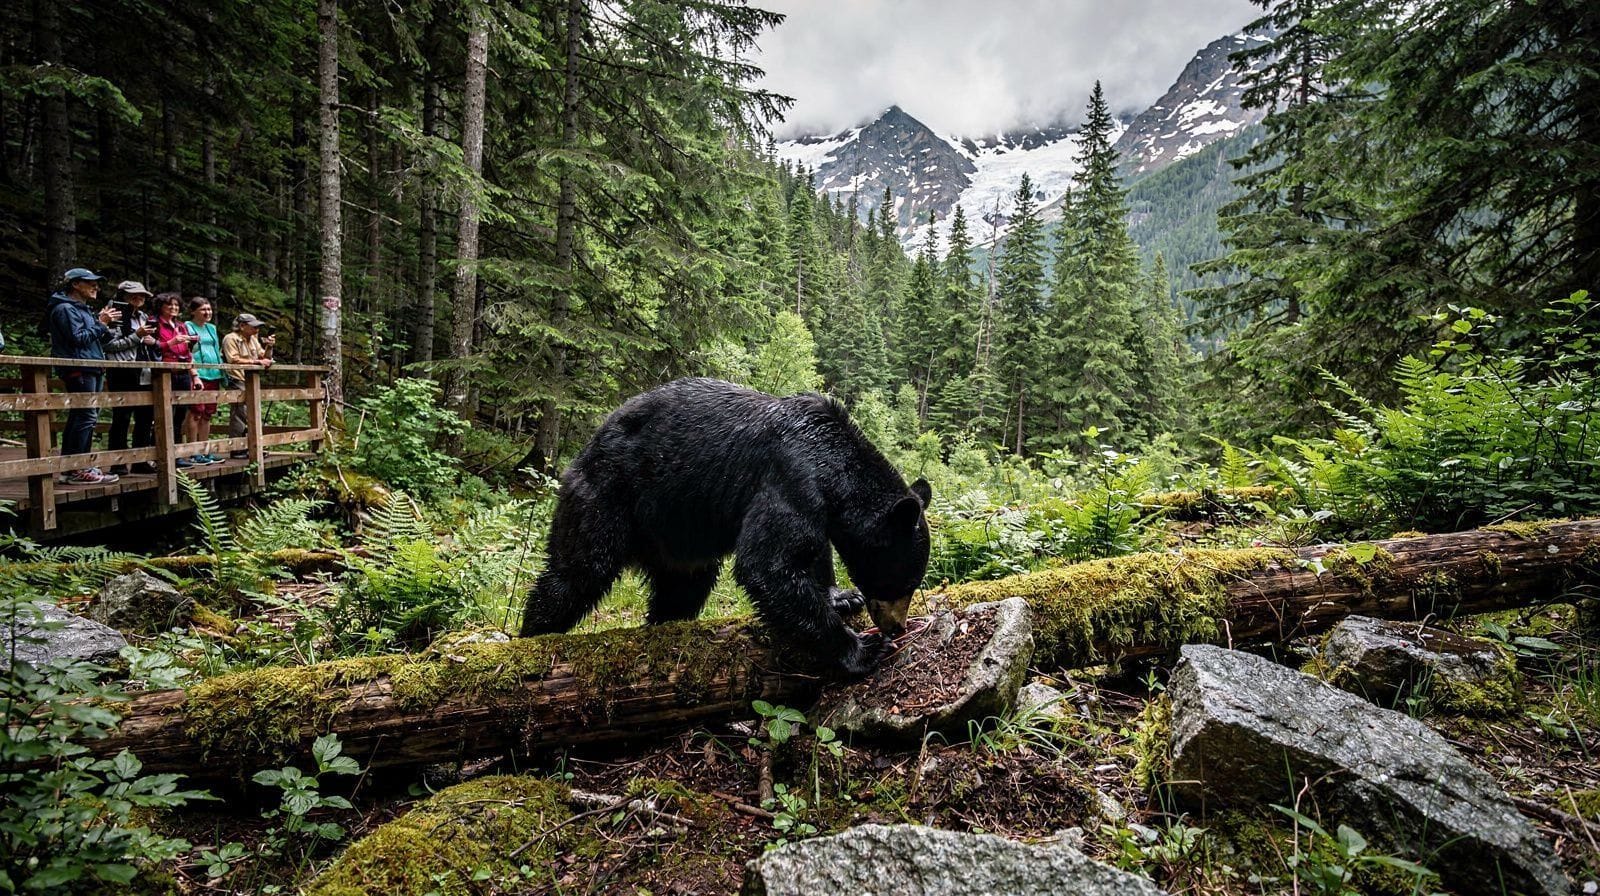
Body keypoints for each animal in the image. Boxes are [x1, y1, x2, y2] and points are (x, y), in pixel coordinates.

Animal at [518, 377, 932, 678]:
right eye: (906, 583)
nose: (897, 627)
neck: (830, 461)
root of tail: (586, 449)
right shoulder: (789, 478)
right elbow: (767, 563)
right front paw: (862, 649)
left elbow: (810, 552)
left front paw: (841, 596)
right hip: (607, 496)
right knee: (577, 572)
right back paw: (530, 636)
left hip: (676, 539)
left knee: (682, 592)